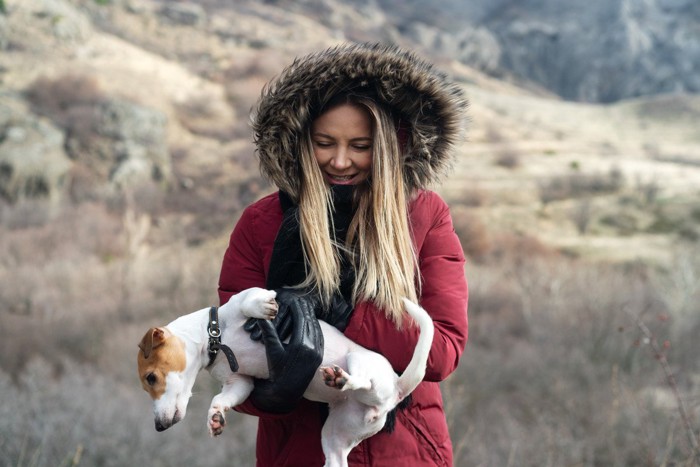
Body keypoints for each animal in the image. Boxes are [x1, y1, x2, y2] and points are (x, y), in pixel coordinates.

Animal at [136, 288, 432, 466]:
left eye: (151, 378)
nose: (159, 427)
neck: (216, 338)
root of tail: (397, 390)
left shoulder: (247, 298)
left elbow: (251, 299)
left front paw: (265, 307)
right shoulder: (239, 382)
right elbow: (222, 399)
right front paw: (215, 417)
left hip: (359, 361)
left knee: (361, 379)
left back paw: (340, 379)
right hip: (335, 437)